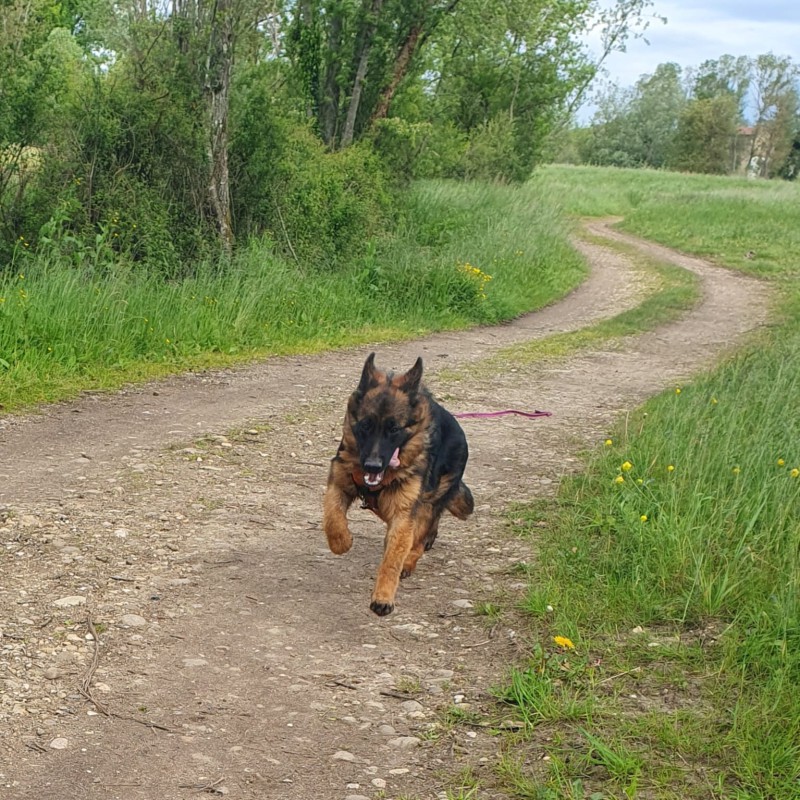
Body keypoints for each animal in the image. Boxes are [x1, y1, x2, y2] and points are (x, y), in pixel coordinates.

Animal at [322, 353, 474, 616]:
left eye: (393, 429)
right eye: (365, 425)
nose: (372, 466)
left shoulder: (404, 513)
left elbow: (393, 558)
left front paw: (383, 596)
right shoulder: (339, 481)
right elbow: (333, 516)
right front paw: (341, 542)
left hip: (428, 502)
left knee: (421, 534)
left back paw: (412, 557)